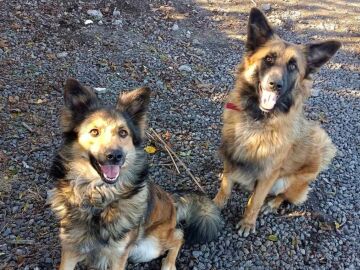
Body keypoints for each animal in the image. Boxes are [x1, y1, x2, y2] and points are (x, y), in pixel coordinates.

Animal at [214, 7, 340, 236]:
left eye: (293, 66)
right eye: (269, 59)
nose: (275, 84)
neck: (257, 119)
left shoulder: (269, 174)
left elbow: (254, 202)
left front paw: (248, 223)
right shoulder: (230, 155)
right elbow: (225, 185)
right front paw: (216, 204)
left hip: (289, 180)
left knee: (284, 196)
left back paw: (272, 203)